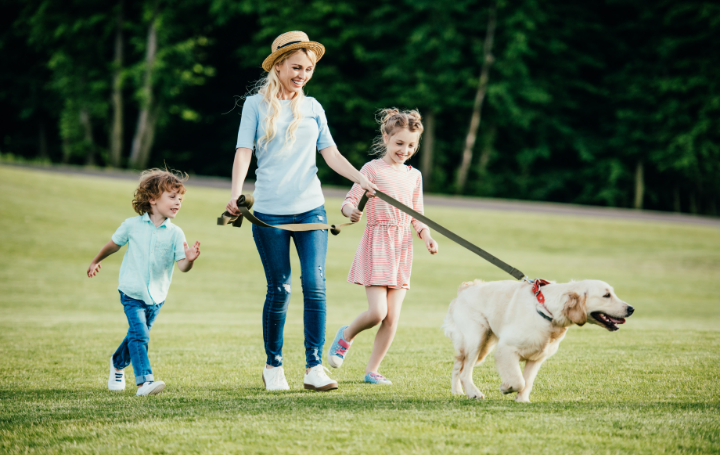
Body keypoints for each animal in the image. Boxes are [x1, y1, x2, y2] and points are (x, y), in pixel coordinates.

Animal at [442, 280, 632, 404]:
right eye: (606, 295)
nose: (631, 308)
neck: (547, 311)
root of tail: (464, 289)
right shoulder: (506, 349)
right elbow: (518, 380)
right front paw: (506, 387)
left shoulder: (537, 357)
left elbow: (527, 381)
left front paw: (522, 400)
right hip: (477, 338)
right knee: (465, 371)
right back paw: (473, 393)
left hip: (482, 345)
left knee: (458, 366)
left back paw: (457, 391)